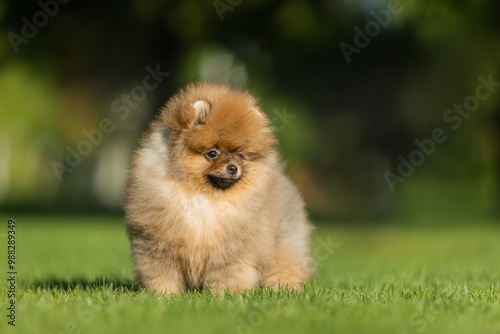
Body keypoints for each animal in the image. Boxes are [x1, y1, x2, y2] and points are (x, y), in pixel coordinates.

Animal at [125, 81, 312, 294]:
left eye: (240, 155)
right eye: (213, 153)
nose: (233, 168)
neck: (203, 197)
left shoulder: (232, 250)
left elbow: (228, 274)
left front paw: (225, 295)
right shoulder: (156, 244)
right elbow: (162, 274)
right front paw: (164, 295)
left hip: (284, 241)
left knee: (286, 264)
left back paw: (284, 289)